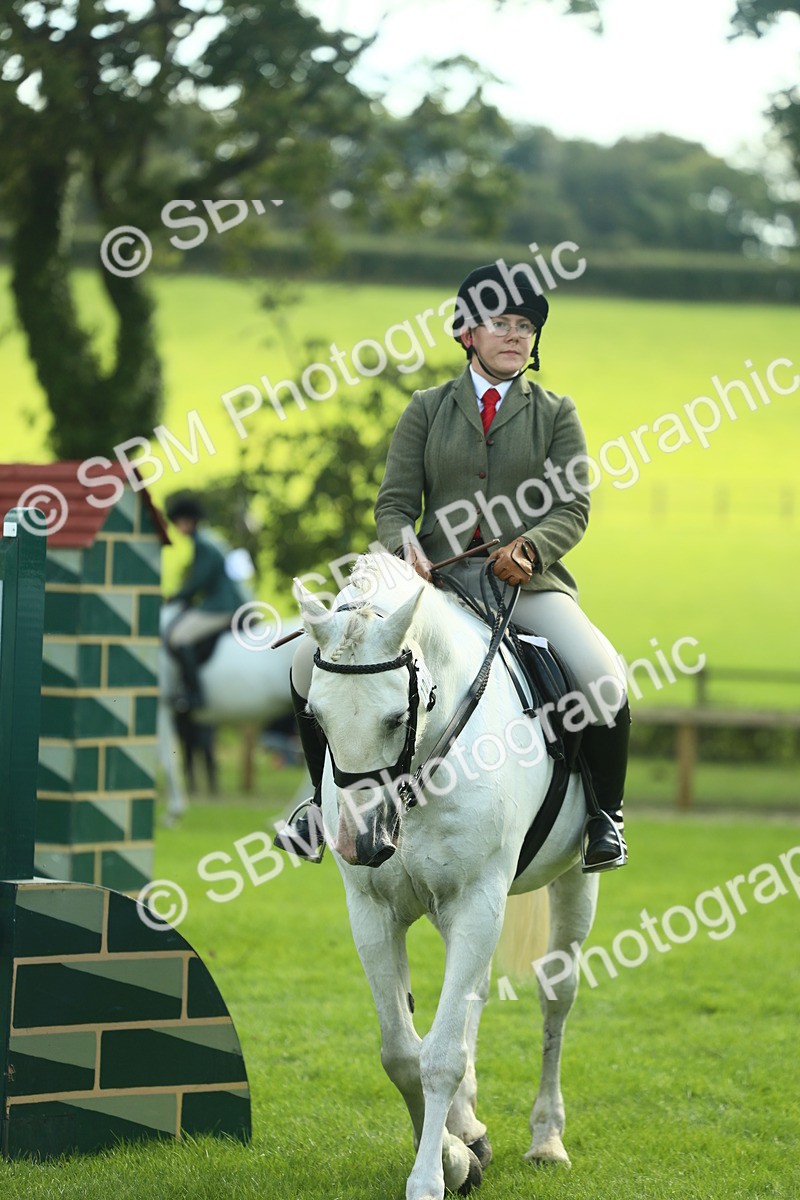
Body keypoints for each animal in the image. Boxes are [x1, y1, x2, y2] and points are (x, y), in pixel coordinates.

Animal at [294, 551, 601, 1200]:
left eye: (396, 718)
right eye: (315, 718)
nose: (361, 843)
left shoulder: (476, 901)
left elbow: (438, 1056)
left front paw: (433, 1175)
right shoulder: (373, 911)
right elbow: (402, 1052)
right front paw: (458, 1152)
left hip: (573, 880)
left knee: (556, 995)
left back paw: (547, 1139)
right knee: (472, 1002)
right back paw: (469, 1126)